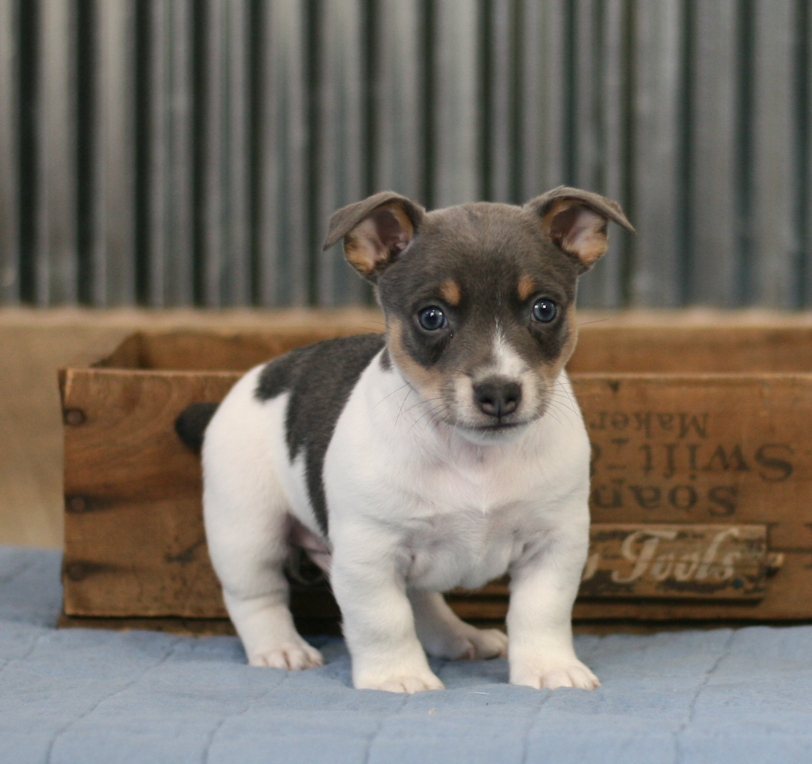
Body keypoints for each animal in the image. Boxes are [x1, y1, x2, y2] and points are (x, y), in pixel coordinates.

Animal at [178, 187, 636, 692]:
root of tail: (252, 382)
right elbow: (384, 620)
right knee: (257, 596)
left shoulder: (554, 544)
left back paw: (460, 637)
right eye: (431, 317)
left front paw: (549, 666)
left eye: (544, 309)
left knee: (422, 600)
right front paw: (396, 675)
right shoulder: (369, 557)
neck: (474, 455)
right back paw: (281, 648)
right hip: (247, 532)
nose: (499, 392)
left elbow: (542, 612)